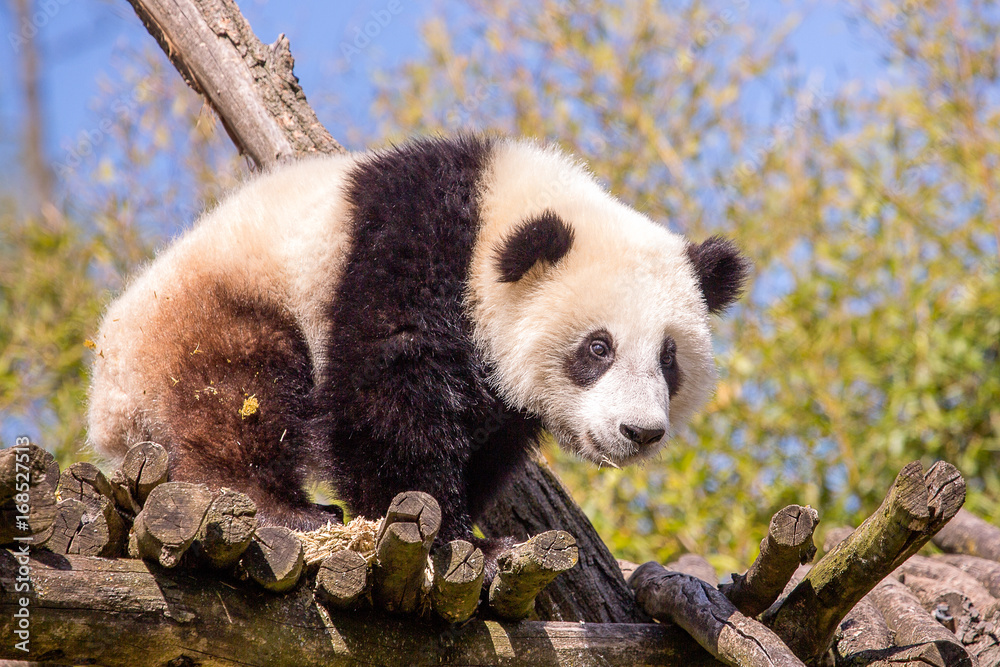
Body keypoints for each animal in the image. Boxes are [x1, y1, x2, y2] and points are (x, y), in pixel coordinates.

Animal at [87, 134, 749, 564]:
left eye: (668, 359)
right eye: (598, 348)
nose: (640, 432)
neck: (494, 209)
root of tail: (109, 408)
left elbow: (488, 437)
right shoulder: (407, 251)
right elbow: (384, 396)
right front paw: (458, 534)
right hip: (210, 311)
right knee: (237, 397)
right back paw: (281, 507)